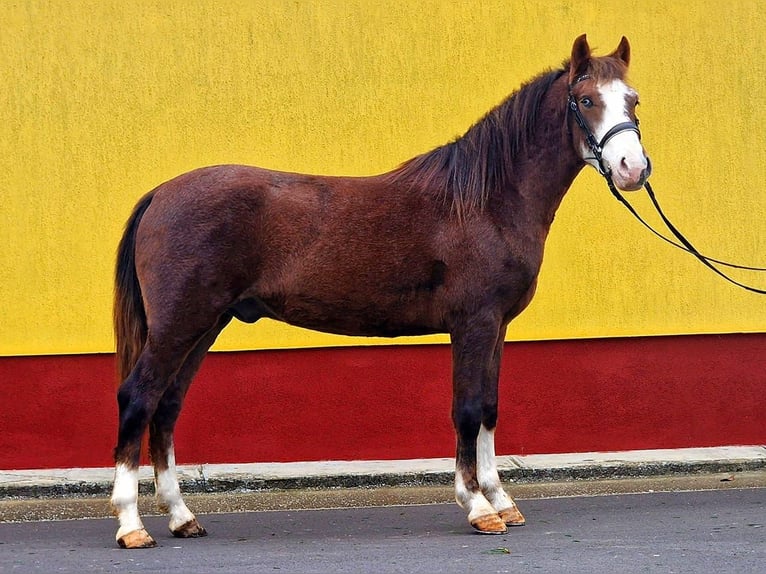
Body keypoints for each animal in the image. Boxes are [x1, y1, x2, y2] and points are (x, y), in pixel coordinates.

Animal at [110, 34, 650, 548]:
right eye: (584, 99)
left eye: (634, 100)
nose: (633, 168)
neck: (486, 201)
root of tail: (160, 194)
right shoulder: (472, 323)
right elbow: (467, 410)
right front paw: (478, 507)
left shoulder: (497, 326)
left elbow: (490, 409)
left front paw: (501, 501)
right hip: (179, 325)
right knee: (139, 398)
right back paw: (131, 525)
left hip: (205, 324)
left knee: (167, 406)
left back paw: (182, 518)